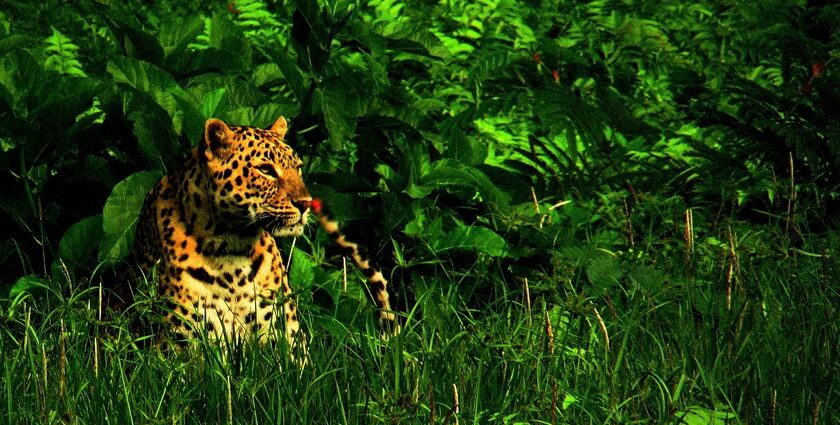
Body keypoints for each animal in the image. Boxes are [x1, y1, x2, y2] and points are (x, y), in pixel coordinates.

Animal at [125, 115, 400, 358]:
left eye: (298, 168)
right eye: (266, 169)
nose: (305, 203)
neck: (231, 248)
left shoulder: (288, 340)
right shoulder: (179, 347)